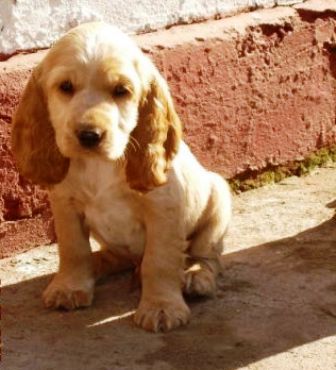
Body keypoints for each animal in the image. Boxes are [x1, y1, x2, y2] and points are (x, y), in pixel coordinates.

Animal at [11, 21, 231, 330]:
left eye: (121, 90)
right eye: (65, 87)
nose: (89, 135)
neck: (99, 166)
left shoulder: (163, 210)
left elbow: (159, 261)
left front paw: (161, 307)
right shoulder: (65, 206)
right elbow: (73, 250)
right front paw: (69, 287)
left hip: (218, 200)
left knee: (208, 256)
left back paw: (196, 276)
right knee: (113, 257)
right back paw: (99, 264)